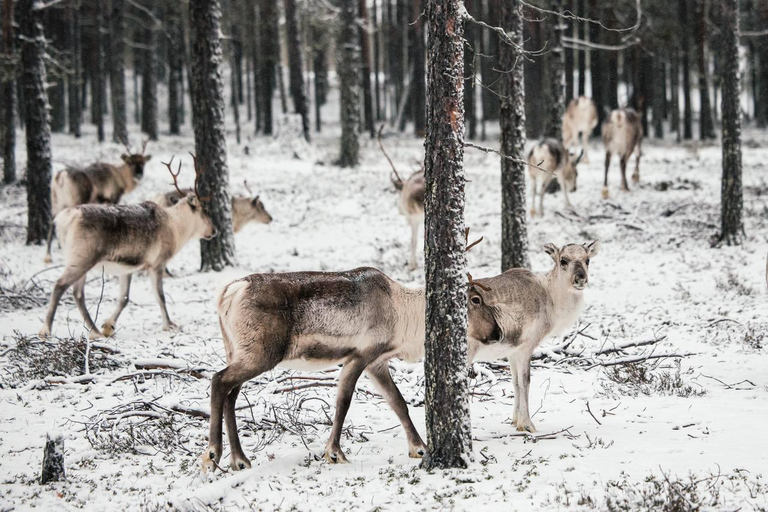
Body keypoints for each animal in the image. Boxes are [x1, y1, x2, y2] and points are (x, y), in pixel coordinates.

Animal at [38, 154, 216, 340]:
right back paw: (46, 329)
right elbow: (160, 296)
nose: (214, 230)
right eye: (204, 211)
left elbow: (124, 298)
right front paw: (169, 325)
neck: (176, 228)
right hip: (81, 259)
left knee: (77, 293)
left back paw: (95, 331)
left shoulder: (127, 268)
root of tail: (64, 219)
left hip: (81, 261)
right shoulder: (157, 263)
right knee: (60, 285)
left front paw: (108, 326)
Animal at [200, 239, 600, 473]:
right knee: (219, 381)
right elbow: (344, 401)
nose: (498, 333)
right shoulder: (361, 355)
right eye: (474, 299)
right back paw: (215, 454)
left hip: (242, 350)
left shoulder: (378, 361)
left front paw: (419, 448)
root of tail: (227, 293)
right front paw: (335, 452)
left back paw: (239, 458)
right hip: (261, 352)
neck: (405, 320)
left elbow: (398, 403)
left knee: (230, 390)